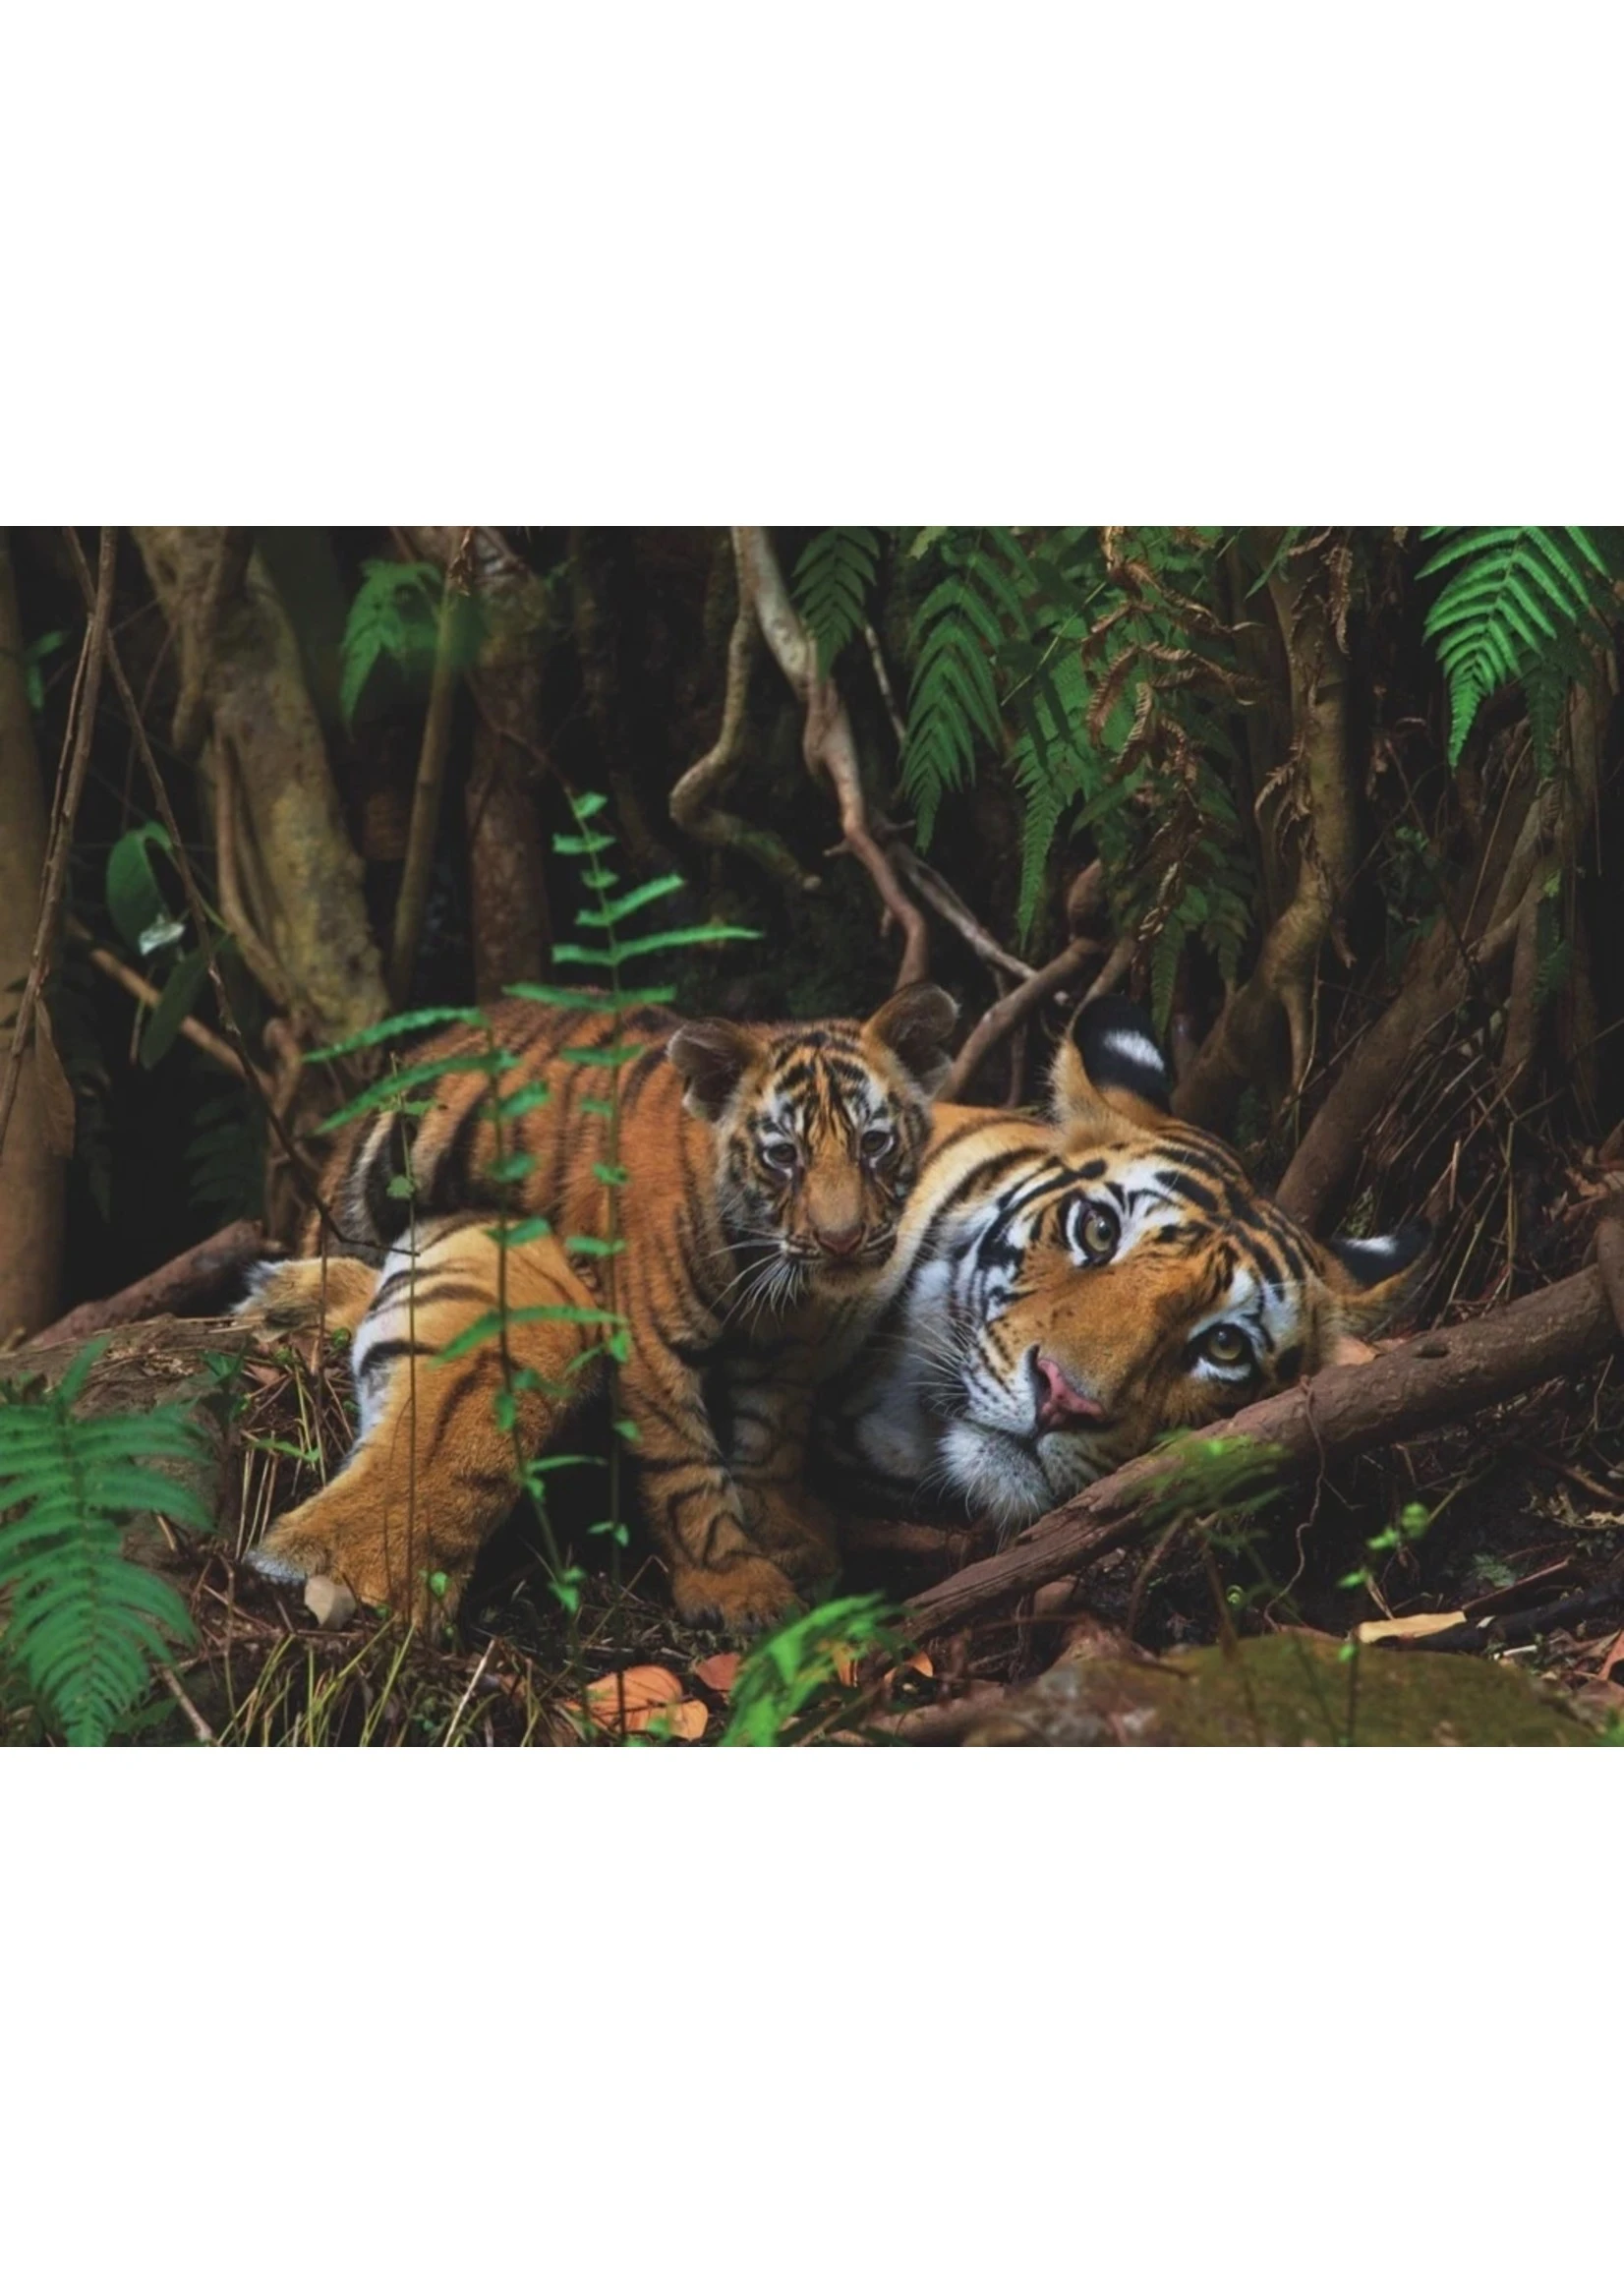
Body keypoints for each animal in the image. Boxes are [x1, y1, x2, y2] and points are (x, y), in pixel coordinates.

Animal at [238, 984, 958, 1631]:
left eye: (874, 1143)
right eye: (783, 1154)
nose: (842, 1239)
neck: (763, 1265)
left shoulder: (781, 1352)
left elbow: (771, 1442)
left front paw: (787, 1537)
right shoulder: (651, 1343)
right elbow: (684, 1469)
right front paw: (736, 1588)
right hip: (366, 1190)